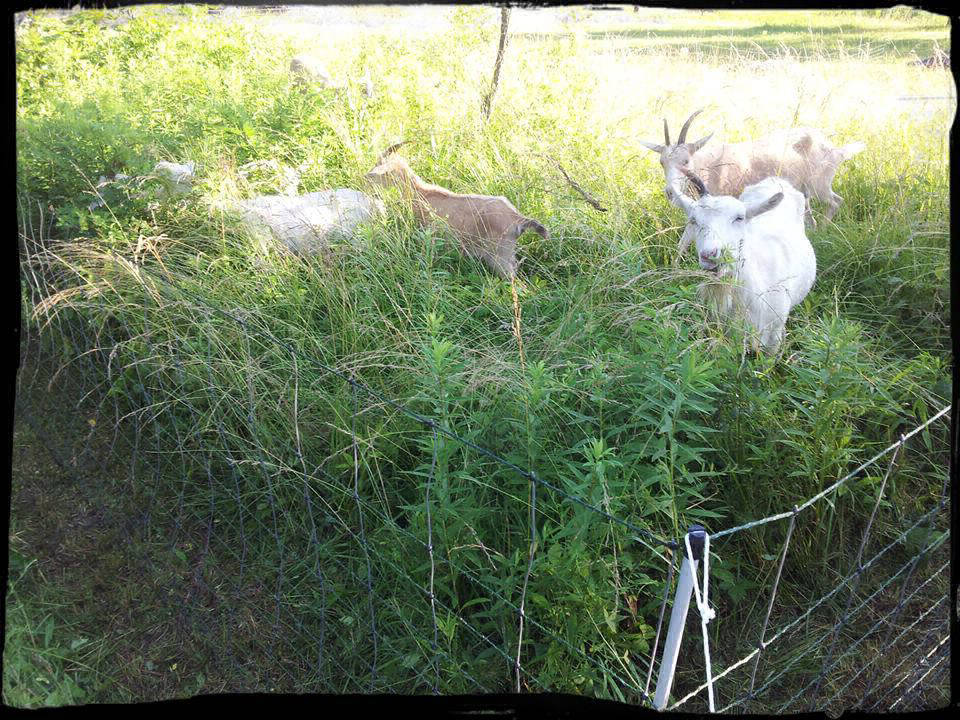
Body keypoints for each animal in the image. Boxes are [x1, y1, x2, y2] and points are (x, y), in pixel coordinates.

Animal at [641, 110, 865, 228]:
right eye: (662, 162)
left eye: (686, 161)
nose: (670, 192)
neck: (709, 166)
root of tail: (834, 148)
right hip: (804, 189)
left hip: (820, 182)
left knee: (836, 201)